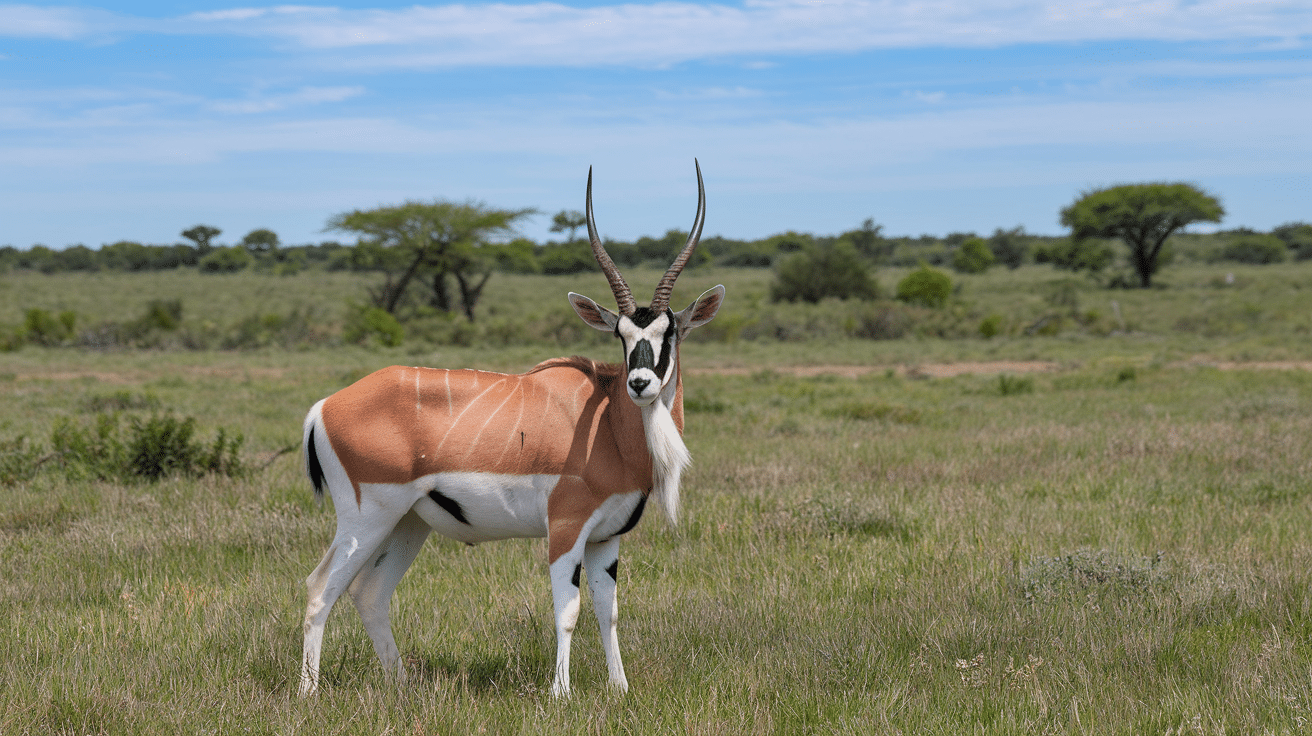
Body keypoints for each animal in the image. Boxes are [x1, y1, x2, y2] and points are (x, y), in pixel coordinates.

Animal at [299, 161, 723, 697]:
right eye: (621, 335)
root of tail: (325, 406)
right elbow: (568, 611)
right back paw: (308, 692)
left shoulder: (606, 539)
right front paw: (560, 693)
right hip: (366, 520)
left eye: (669, 332)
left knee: (370, 593)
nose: (640, 383)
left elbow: (608, 612)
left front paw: (620, 689)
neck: (606, 419)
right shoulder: (566, 531)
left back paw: (403, 685)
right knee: (321, 589)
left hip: (407, 523)